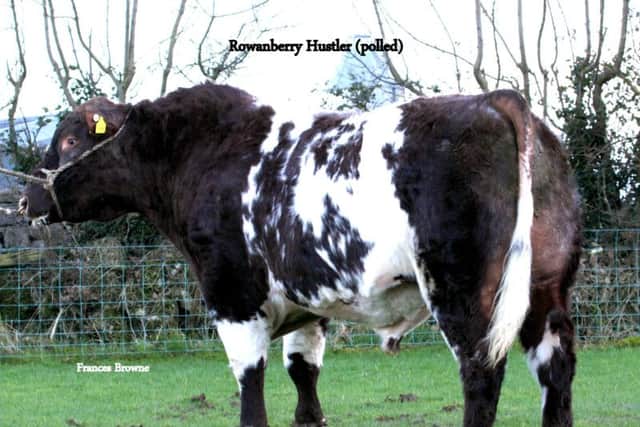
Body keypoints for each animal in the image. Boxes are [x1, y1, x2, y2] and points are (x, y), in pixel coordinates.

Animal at [20, 82, 581, 427]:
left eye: (69, 139)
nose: (26, 198)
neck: (198, 154)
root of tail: (494, 100)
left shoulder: (232, 294)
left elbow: (251, 387)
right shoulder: (309, 303)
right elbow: (303, 379)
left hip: (463, 291)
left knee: (481, 373)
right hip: (544, 289)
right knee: (556, 370)